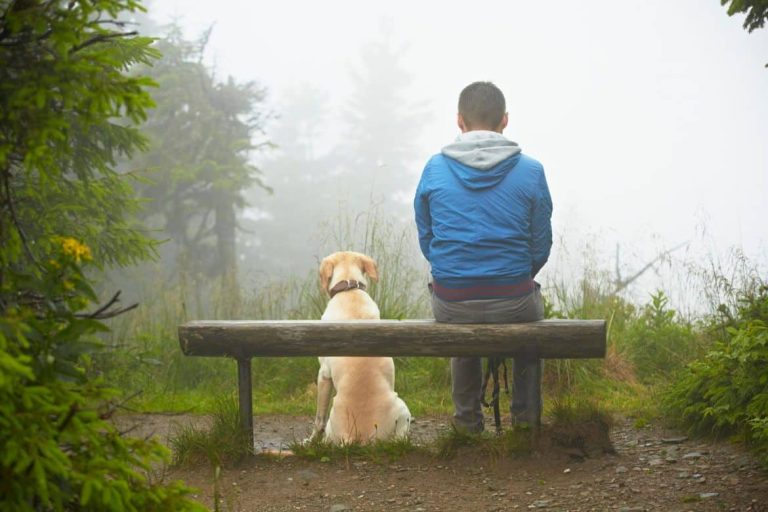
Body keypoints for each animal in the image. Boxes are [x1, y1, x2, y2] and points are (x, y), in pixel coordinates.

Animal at [308, 250, 412, 442]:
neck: (349, 290)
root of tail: (358, 437)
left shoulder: (324, 374)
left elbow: (319, 418)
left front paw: (311, 441)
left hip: (401, 406)